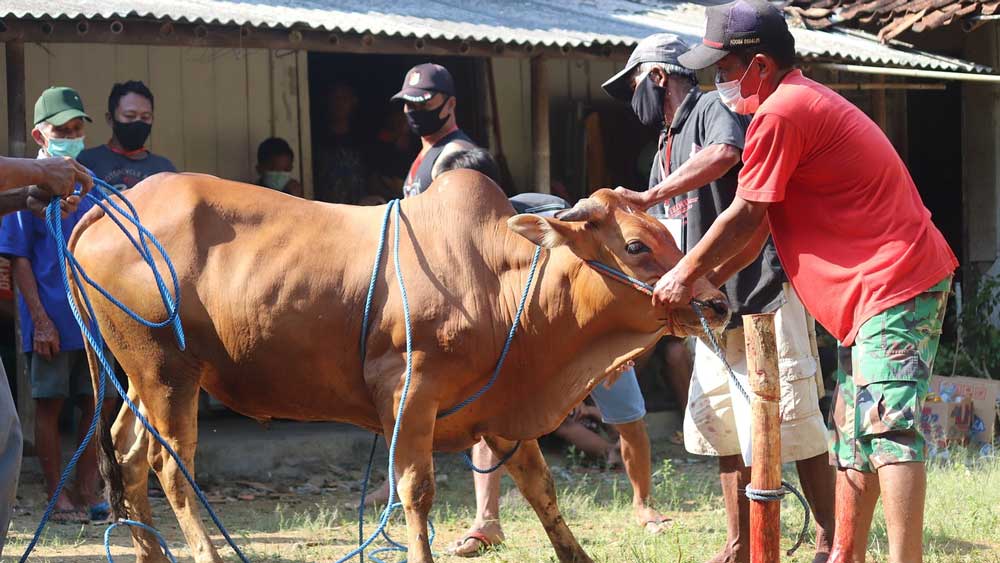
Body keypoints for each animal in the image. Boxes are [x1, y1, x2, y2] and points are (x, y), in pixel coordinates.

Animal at [72, 172, 728, 563]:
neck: (499, 281)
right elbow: (416, 488)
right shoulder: (410, 391)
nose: (718, 303)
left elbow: (541, 488)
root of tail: (110, 203)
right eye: (636, 246)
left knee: (128, 455)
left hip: (142, 377)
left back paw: (149, 553)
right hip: (167, 372)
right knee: (169, 464)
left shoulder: (500, 409)